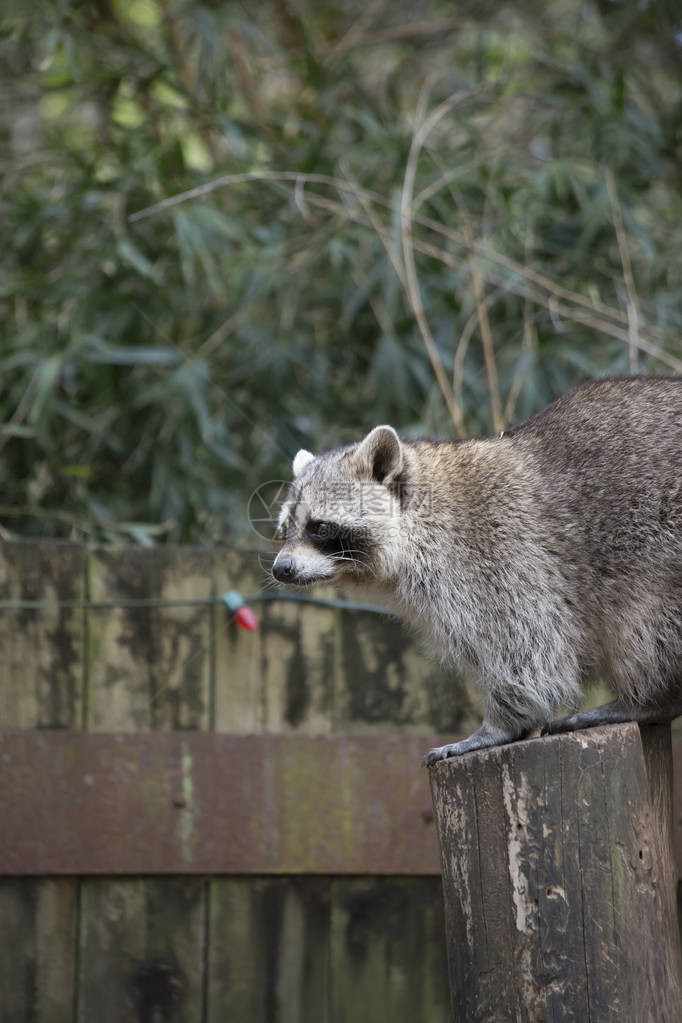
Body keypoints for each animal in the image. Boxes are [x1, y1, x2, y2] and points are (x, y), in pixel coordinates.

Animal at [271, 378, 682, 769]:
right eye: (285, 529)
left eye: (320, 528)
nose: (281, 569)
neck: (420, 518)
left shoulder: (500, 557)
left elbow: (527, 651)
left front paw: (501, 725)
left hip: (663, 551)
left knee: (648, 628)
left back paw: (649, 697)